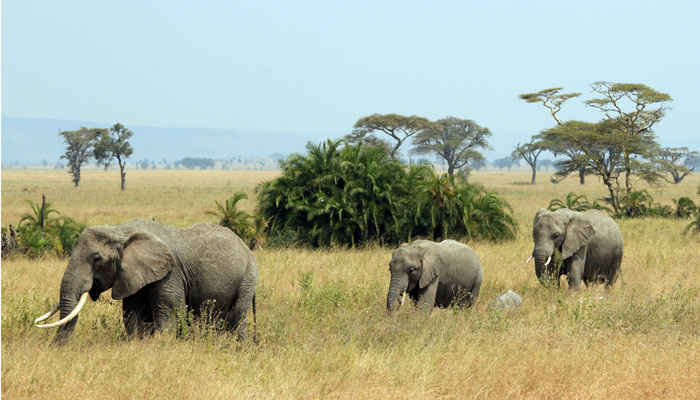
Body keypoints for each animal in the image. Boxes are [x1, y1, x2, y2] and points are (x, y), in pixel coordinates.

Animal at [33, 219, 258, 344]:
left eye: (97, 259)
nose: (52, 348)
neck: (120, 230)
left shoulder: (170, 273)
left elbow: (169, 313)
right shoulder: (132, 274)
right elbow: (132, 315)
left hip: (248, 277)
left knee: (238, 315)